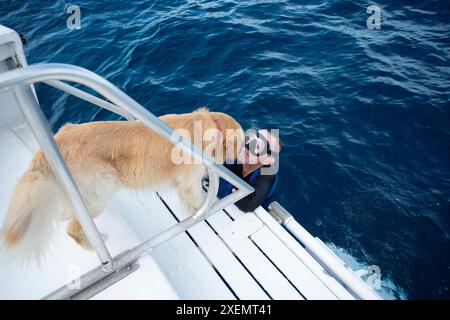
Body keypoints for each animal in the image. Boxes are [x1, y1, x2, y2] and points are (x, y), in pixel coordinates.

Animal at [0, 107, 244, 260]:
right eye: (241, 145)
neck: (210, 126)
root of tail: (49, 147)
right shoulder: (189, 181)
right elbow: (197, 199)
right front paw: (205, 208)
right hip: (102, 189)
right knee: (73, 230)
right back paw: (97, 242)